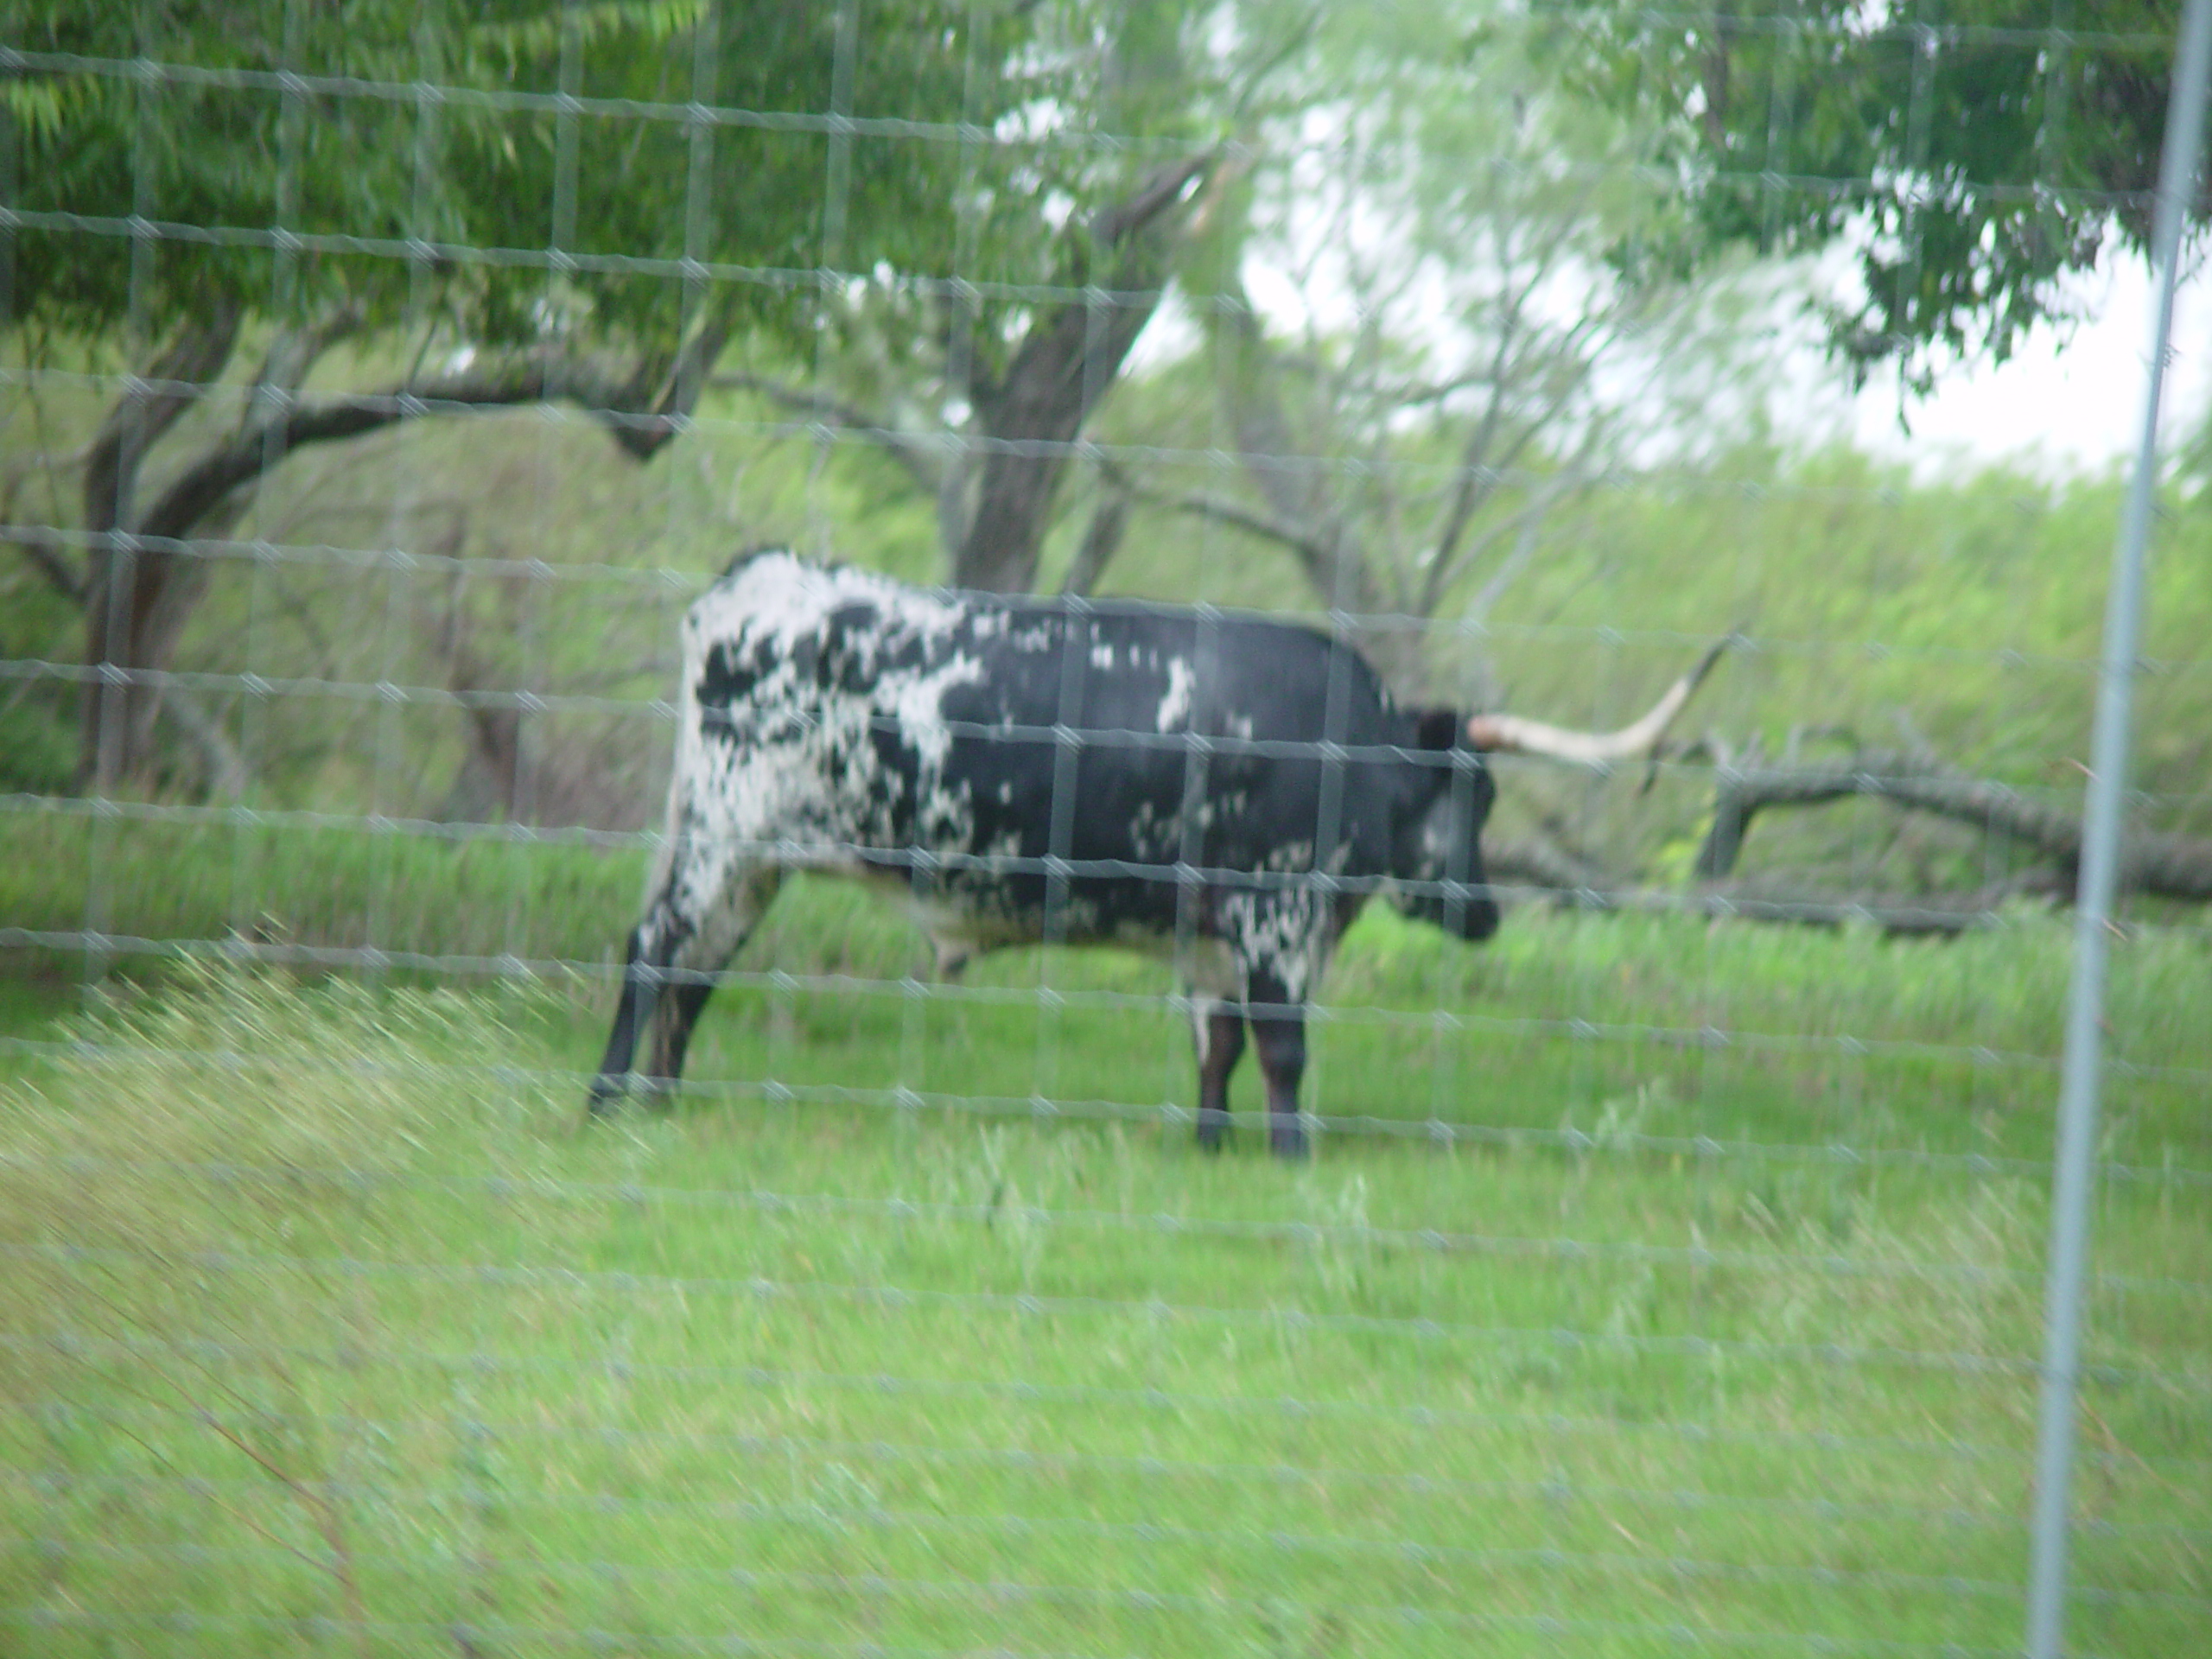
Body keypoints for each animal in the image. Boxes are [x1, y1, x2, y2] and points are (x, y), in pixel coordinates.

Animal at [583, 553, 1707, 1150]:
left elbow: (1219, 1048)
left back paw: (662, 1106)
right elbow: (1284, 1050)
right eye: (1462, 796)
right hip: (721, 837)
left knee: (696, 975)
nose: (1483, 914)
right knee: (651, 951)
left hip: (753, 860)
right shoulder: (1275, 916)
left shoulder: (1216, 938)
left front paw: (1210, 1150)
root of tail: (754, 583)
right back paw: (605, 1103)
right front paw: (1289, 1160)